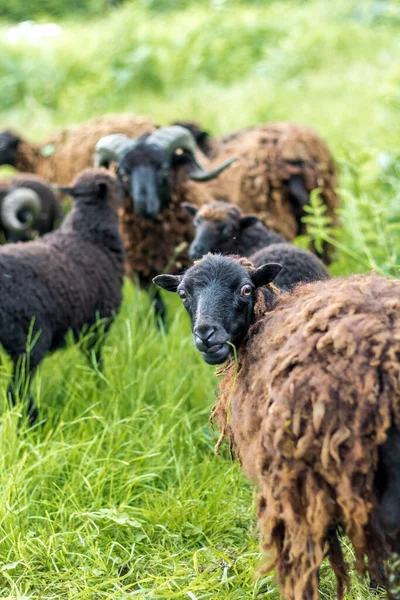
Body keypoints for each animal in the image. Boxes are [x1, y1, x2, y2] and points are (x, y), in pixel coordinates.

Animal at [0, 168, 124, 422]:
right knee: (16, 391)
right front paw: (100, 386)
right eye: (116, 186)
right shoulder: (98, 323)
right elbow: (95, 360)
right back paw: (35, 421)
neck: (88, 234)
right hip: (28, 342)